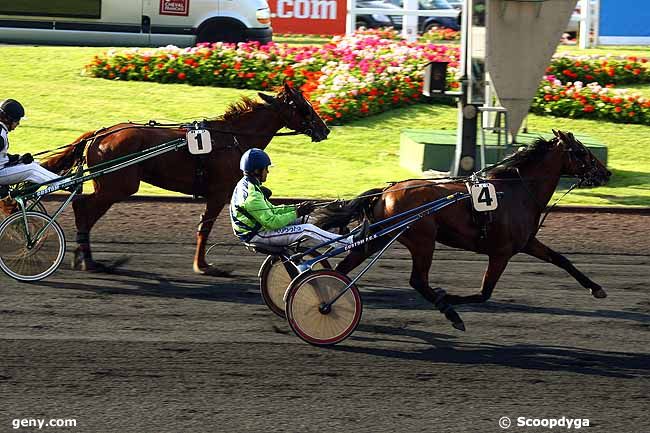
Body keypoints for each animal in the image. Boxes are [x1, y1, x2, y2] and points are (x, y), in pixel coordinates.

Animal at [42, 83, 326, 274]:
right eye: (304, 106)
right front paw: (203, 266)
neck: (234, 138)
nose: (324, 129)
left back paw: (83, 257)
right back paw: (88, 260)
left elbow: (203, 225)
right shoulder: (219, 193)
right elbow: (206, 227)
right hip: (118, 186)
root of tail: (99, 135)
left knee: (84, 208)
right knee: (83, 206)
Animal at [316, 130, 612, 330]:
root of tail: (386, 192)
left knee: (344, 268)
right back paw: (449, 312)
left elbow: (562, 259)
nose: (606, 173)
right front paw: (449, 298)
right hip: (423, 240)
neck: (517, 191)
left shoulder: (527, 243)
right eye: (581, 152)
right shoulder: (501, 253)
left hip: (382, 237)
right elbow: (484, 293)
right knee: (418, 281)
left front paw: (596, 288)